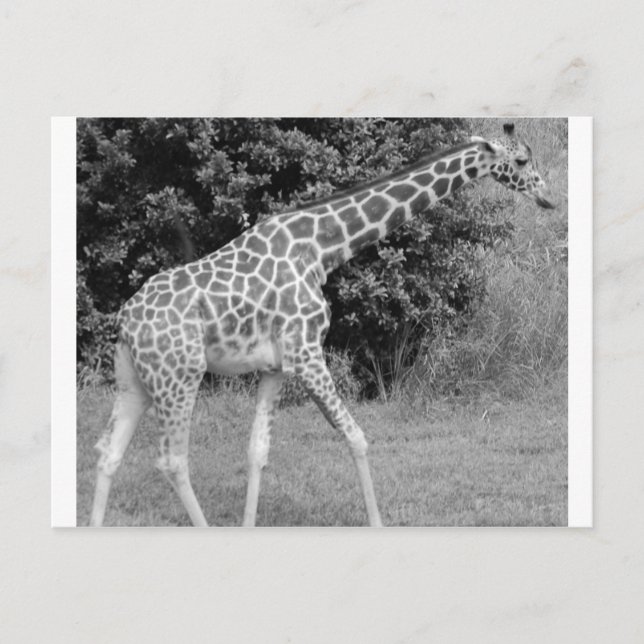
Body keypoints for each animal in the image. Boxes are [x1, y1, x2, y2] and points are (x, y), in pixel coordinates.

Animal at [89, 122, 555, 527]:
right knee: (171, 460)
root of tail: (126, 321)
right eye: (520, 161)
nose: (549, 199)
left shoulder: (276, 366)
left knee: (107, 452)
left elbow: (257, 451)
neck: (322, 247)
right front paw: (377, 523)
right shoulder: (307, 353)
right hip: (179, 376)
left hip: (134, 381)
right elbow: (357, 437)